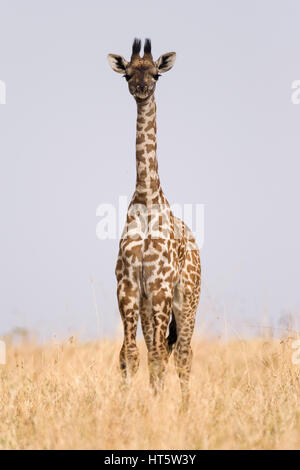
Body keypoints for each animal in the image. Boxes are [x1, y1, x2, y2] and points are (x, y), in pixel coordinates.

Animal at [108, 38, 202, 404]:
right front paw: (128, 406)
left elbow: (160, 355)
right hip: (151, 305)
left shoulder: (161, 286)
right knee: (155, 351)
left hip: (187, 299)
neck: (147, 200)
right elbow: (130, 356)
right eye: (127, 74)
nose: (141, 89)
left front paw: (157, 407)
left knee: (183, 354)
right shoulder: (129, 287)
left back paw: (185, 407)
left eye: (156, 74)